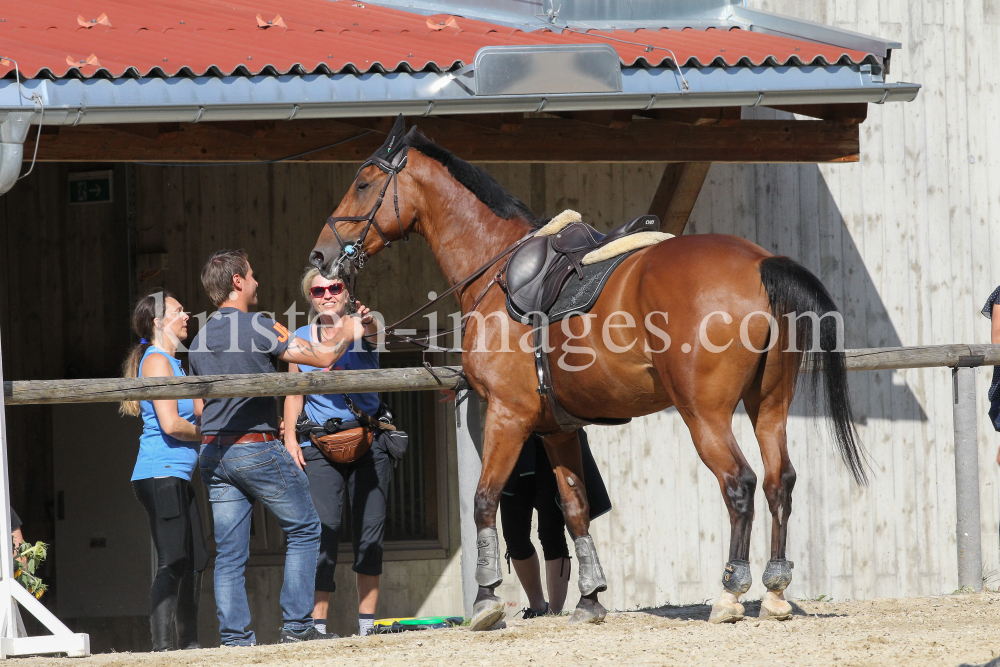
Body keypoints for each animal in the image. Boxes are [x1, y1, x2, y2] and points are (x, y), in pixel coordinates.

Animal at [308, 116, 864, 632]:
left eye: (363, 182)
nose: (320, 255)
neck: (497, 271)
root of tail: (759, 263)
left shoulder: (507, 416)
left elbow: (485, 499)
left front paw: (487, 601)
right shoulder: (558, 429)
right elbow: (573, 508)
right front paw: (591, 599)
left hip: (704, 415)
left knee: (740, 484)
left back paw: (730, 593)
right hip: (768, 406)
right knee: (779, 481)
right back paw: (774, 591)